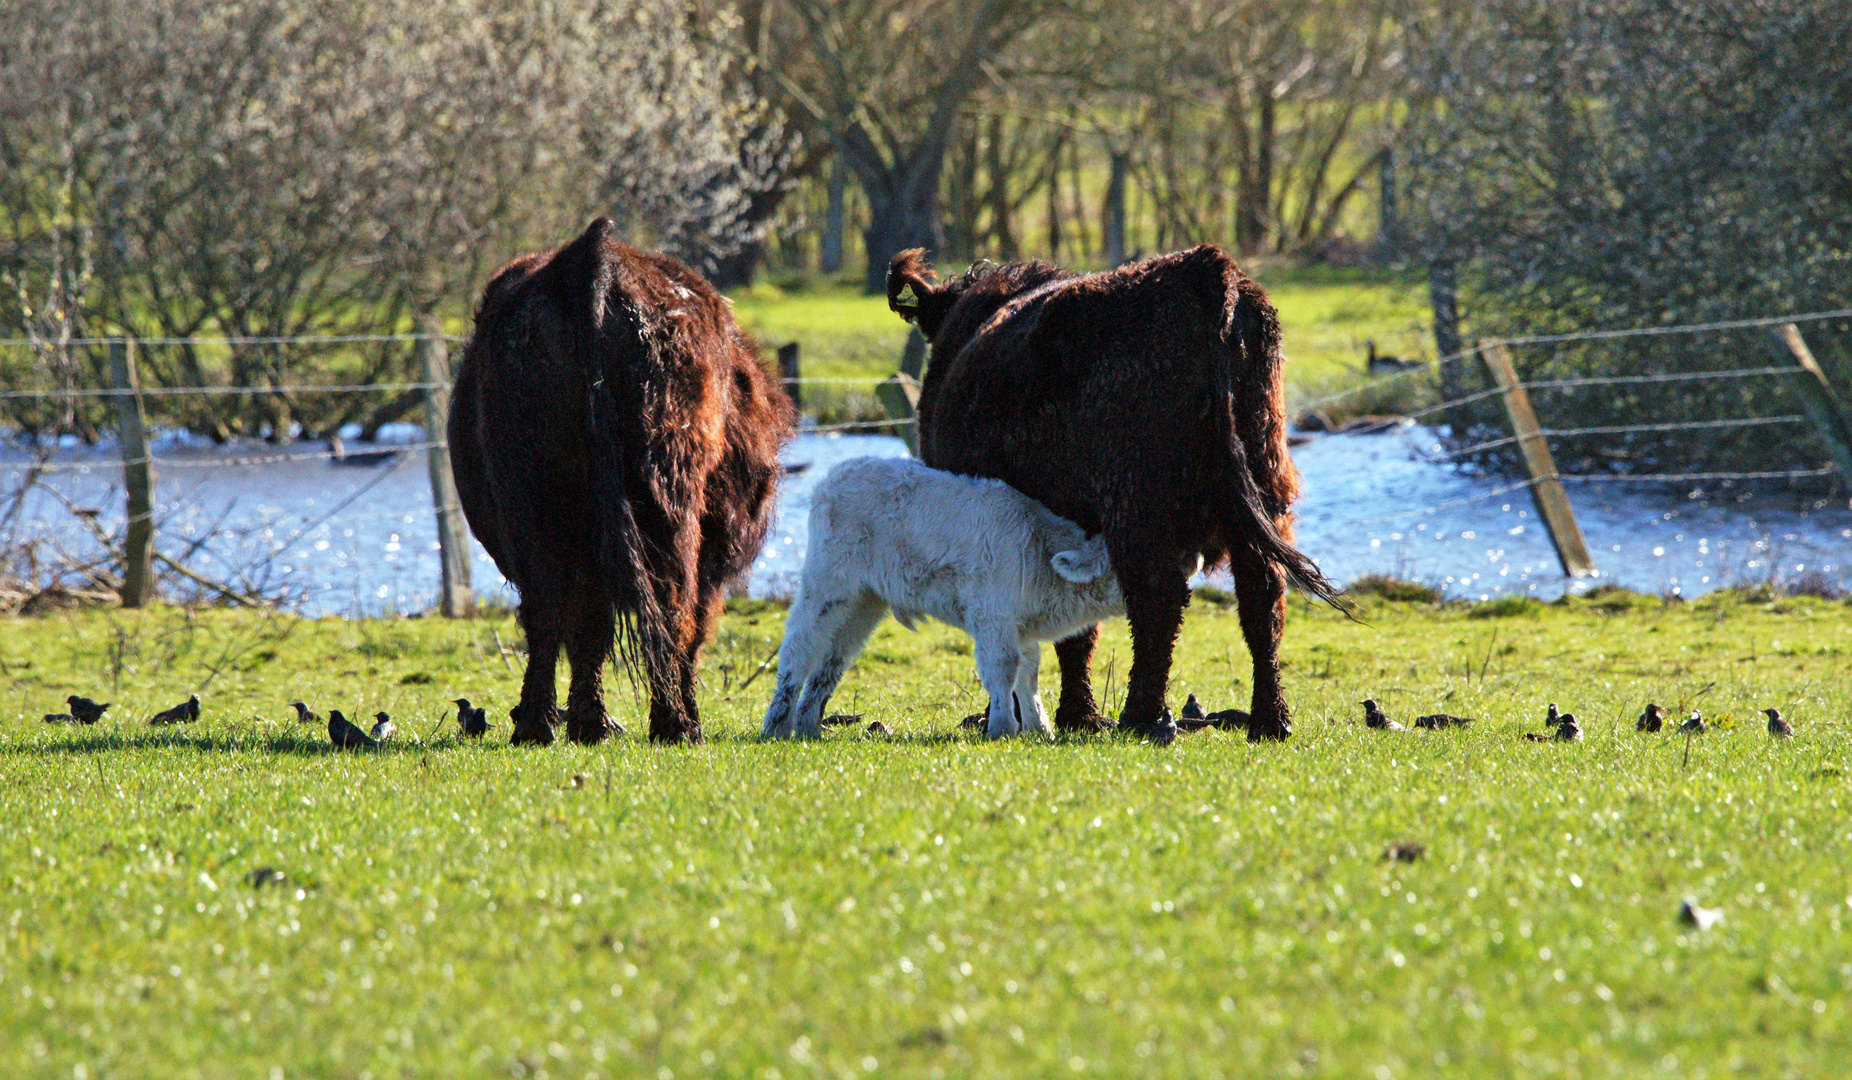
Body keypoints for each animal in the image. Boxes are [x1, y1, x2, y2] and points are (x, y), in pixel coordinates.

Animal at [453, 219, 796, 744]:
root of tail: (592, 253)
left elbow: (585, 629)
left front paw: (587, 722)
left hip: (536, 503)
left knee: (548, 610)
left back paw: (538, 726)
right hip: (669, 504)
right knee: (673, 607)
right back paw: (675, 725)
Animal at [759, 455, 1118, 744]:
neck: (1038, 549)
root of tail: (837, 472)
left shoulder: (1022, 626)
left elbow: (1028, 675)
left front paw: (1039, 729)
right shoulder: (992, 616)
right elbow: (1003, 668)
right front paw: (1002, 729)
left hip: (863, 602)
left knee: (832, 659)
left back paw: (808, 727)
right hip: (826, 584)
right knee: (799, 647)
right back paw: (777, 726)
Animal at [885, 246, 1348, 744]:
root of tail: (1202, 264)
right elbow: (1073, 625)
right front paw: (1076, 715)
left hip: (1137, 505)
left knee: (1159, 598)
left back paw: (1143, 716)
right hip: (1265, 490)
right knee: (1263, 599)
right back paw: (1269, 720)